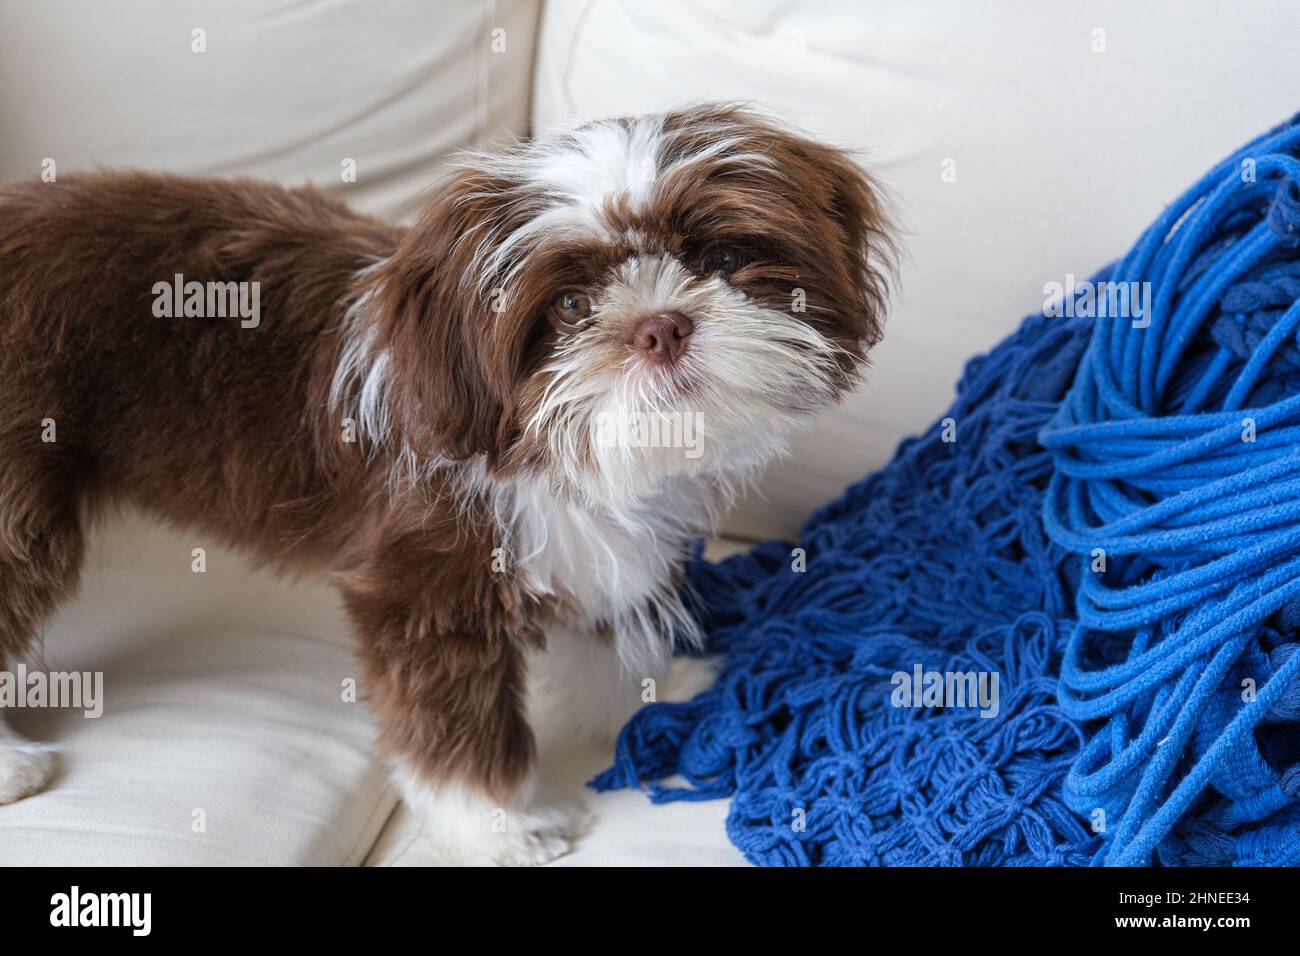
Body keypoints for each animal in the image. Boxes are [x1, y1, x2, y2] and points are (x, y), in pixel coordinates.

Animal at [0, 106, 889, 868]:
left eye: (719, 260)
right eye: (572, 306)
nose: (661, 326)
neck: (540, 445)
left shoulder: (599, 542)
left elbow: (608, 618)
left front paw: (657, 693)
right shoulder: (425, 577)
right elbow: (454, 713)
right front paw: (501, 825)